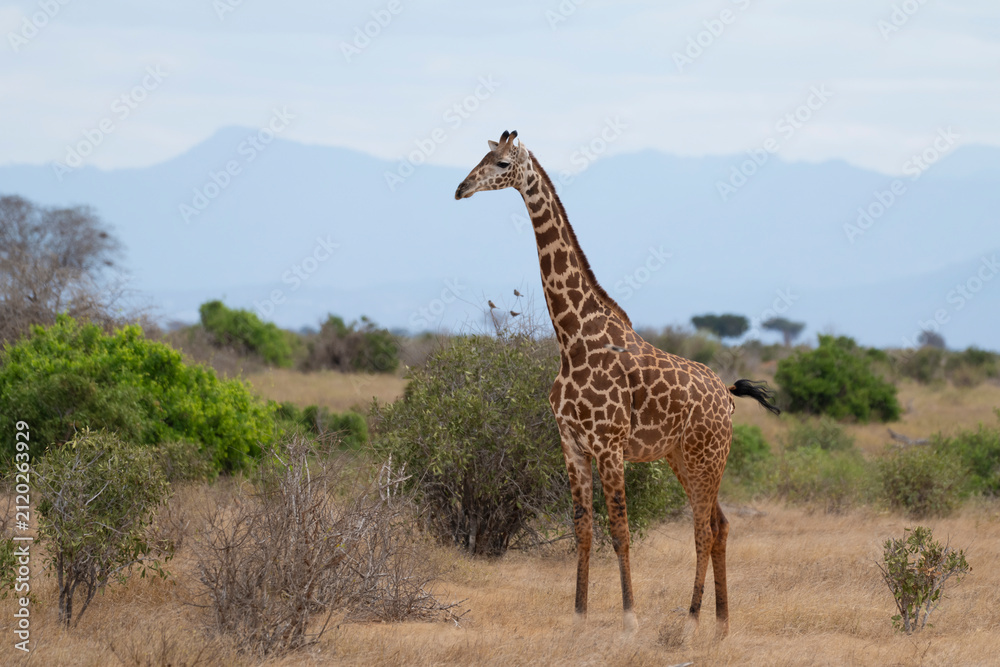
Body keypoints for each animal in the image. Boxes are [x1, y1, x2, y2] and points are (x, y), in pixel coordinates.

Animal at [455, 130, 780, 638]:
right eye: (481, 156)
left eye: (502, 162)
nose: (461, 188)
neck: (572, 338)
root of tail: (726, 397)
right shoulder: (571, 442)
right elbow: (583, 529)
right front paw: (579, 615)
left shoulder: (609, 444)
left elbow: (621, 530)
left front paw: (630, 618)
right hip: (681, 457)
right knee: (721, 525)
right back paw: (722, 626)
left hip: (708, 457)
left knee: (703, 529)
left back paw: (690, 623)